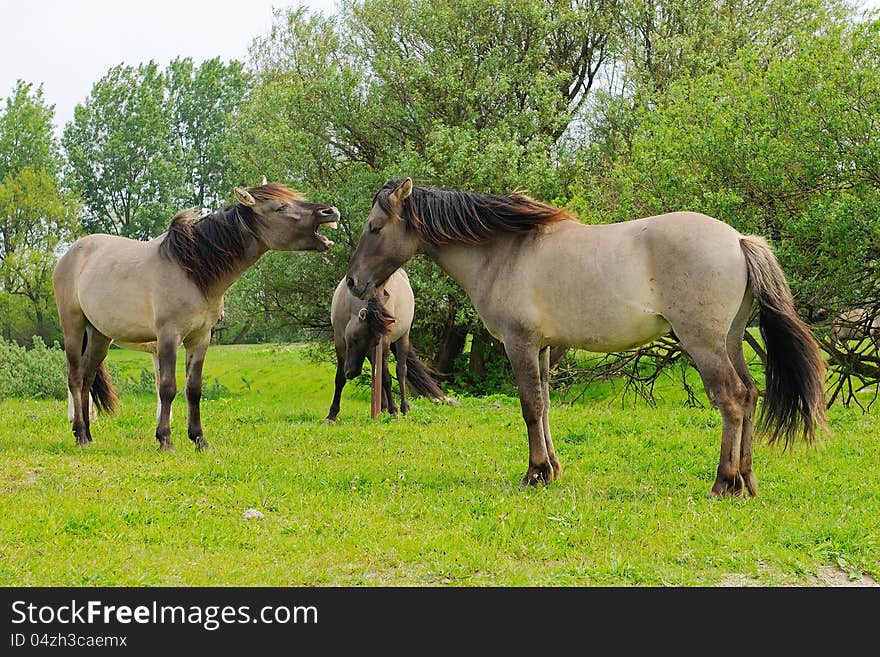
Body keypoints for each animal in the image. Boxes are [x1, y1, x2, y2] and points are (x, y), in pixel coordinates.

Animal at [52, 184, 340, 452]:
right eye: (280, 207)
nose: (330, 211)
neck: (192, 269)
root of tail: (70, 254)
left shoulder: (200, 338)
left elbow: (193, 389)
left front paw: (200, 440)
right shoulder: (169, 337)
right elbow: (168, 388)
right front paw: (165, 440)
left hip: (100, 335)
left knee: (87, 378)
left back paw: (87, 435)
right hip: (74, 327)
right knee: (75, 377)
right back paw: (80, 433)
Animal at [326, 266, 446, 420]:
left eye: (374, 341)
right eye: (354, 339)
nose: (352, 372)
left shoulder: (383, 344)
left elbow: (386, 377)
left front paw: (393, 410)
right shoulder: (340, 342)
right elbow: (340, 378)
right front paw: (332, 414)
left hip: (402, 338)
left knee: (400, 371)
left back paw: (403, 407)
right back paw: (382, 408)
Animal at [348, 177, 828, 494]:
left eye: (374, 227)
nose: (353, 282)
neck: (504, 252)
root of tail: (738, 240)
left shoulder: (520, 344)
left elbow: (529, 408)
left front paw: (534, 474)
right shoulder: (542, 348)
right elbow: (544, 406)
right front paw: (552, 469)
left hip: (704, 344)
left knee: (732, 399)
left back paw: (724, 483)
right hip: (730, 341)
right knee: (750, 395)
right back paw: (747, 479)